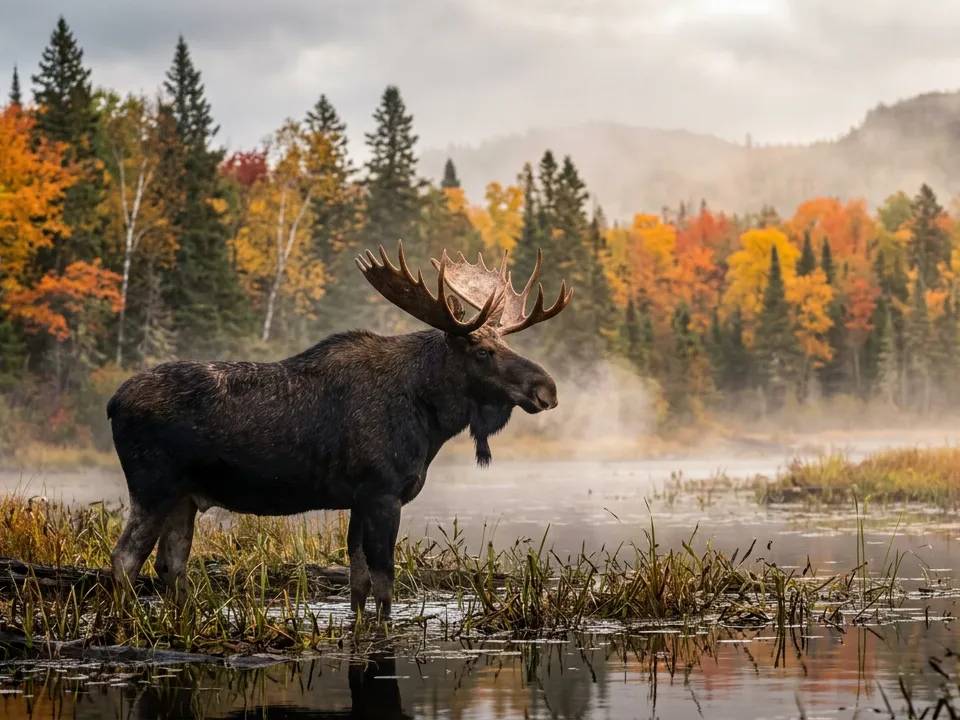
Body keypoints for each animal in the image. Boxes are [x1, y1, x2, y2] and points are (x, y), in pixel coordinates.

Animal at [107, 242, 571, 616]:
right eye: (482, 351)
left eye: (506, 343)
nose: (547, 388)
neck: (429, 419)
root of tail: (112, 404)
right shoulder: (383, 492)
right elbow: (384, 584)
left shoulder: (359, 498)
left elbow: (358, 584)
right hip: (153, 486)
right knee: (125, 559)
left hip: (184, 496)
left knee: (171, 564)